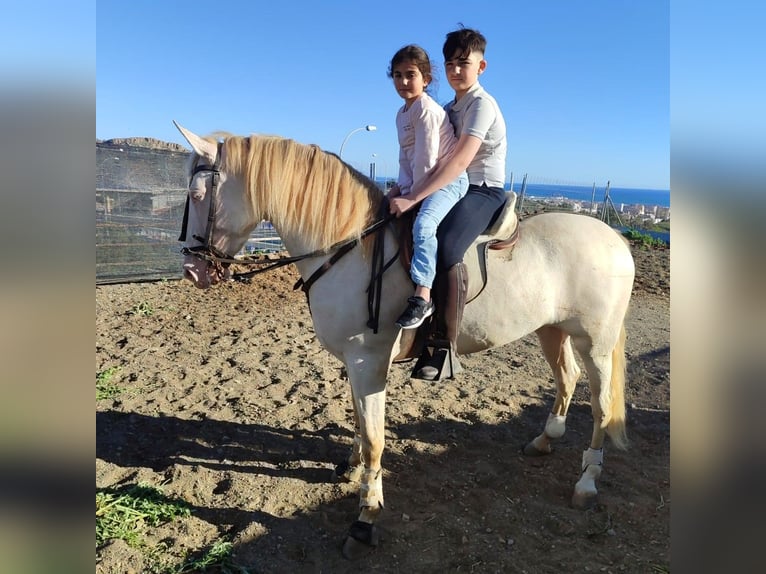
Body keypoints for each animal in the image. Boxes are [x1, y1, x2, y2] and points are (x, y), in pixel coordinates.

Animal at [173, 121, 635, 558]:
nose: (192, 272)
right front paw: (352, 467)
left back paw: (587, 482)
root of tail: (613, 239)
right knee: (567, 378)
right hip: (551, 330)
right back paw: (545, 439)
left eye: (196, 194)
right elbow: (360, 422)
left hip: (595, 343)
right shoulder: (355, 362)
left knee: (601, 406)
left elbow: (375, 437)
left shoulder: (368, 360)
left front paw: (366, 517)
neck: (350, 248)